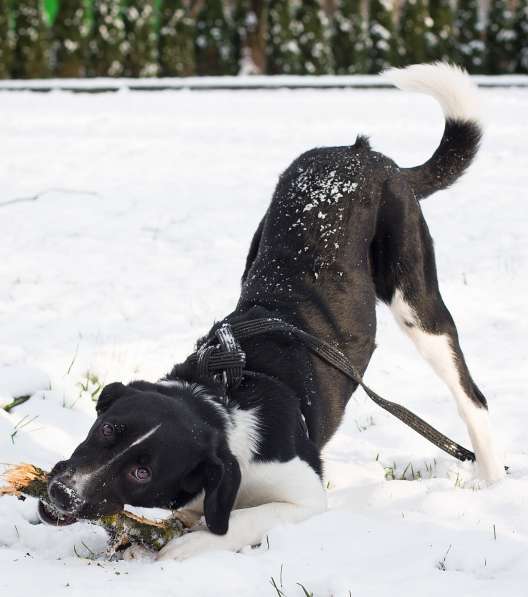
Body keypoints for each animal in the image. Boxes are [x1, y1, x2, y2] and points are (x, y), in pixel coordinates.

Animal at [44, 62, 504, 560]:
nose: (61, 494)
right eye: (107, 430)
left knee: (471, 396)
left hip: (416, 300)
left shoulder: (304, 497)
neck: (222, 407)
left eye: (142, 472)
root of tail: (364, 154)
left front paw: (189, 545)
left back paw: (492, 480)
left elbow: (240, 520)